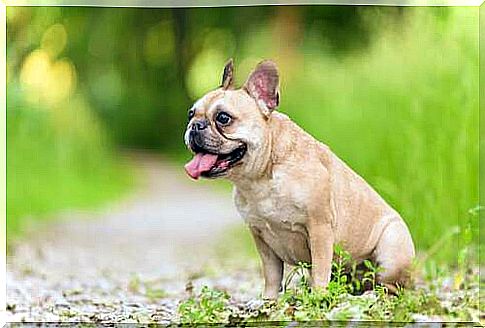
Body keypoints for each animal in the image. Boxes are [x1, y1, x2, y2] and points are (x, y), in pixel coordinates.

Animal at [183, 59, 414, 300]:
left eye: (223, 118)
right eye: (191, 114)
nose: (194, 126)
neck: (261, 177)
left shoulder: (319, 227)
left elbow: (320, 268)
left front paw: (318, 297)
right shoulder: (261, 237)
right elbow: (272, 274)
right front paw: (269, 300)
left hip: (392, 247)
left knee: (390, 286)